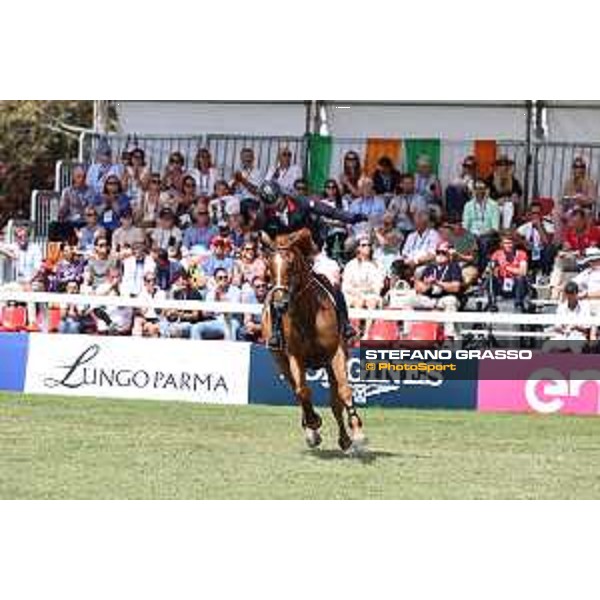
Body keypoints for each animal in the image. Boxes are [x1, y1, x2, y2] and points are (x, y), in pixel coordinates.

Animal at [262, 227, 366, 452]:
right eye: (269, 266)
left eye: (291, 264)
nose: (280, 304)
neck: (308, 314)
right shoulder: (294, 357)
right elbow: (302, 391)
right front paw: (313, 424)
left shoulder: (336, 354)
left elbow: (344, 391)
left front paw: (357, 431)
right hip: (280, 360)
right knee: (297, 390)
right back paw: (311, 430)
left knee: (335, 400)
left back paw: (345, 438)